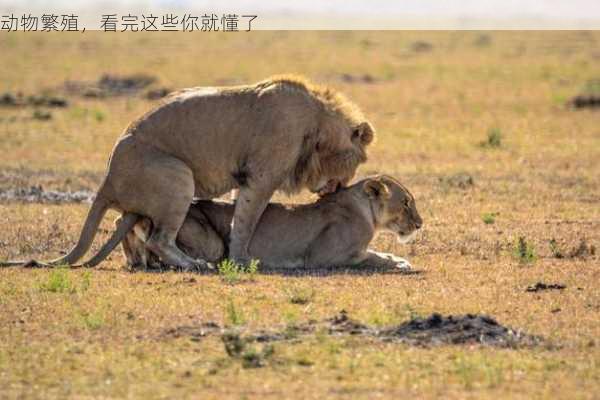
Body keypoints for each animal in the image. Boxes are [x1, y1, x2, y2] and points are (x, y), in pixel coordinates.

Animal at [2, 76, 372, 268]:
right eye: (356, 164)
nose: (338, 189)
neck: (318, 123)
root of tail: (108, 178)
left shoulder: (246, 178)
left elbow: (238, 214)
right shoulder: (262, 175)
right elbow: (246, 221)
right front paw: (240, 259)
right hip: (177, 177)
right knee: (159, 238)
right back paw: (195, 264)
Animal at [120, 177, 422, 270]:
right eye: (406, 202)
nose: (420, 224)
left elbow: (377, 252)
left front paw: (397, 258)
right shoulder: (325, 256)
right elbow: (371, 257)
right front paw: (400, 264)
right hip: (212, 243)